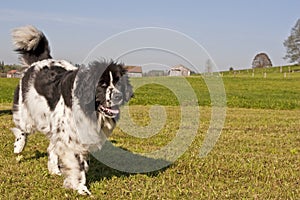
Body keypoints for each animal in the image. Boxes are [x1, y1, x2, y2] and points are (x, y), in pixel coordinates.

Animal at [10, 25, 132, 195]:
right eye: (102, 84)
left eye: (119, 82)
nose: (118, 96)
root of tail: (41, 61)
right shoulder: (70, 138)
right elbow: (77, 166)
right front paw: (81, 187)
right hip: (26, 112)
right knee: (22, 129)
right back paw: (19, 146)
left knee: (51, 147)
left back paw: (54, 169)